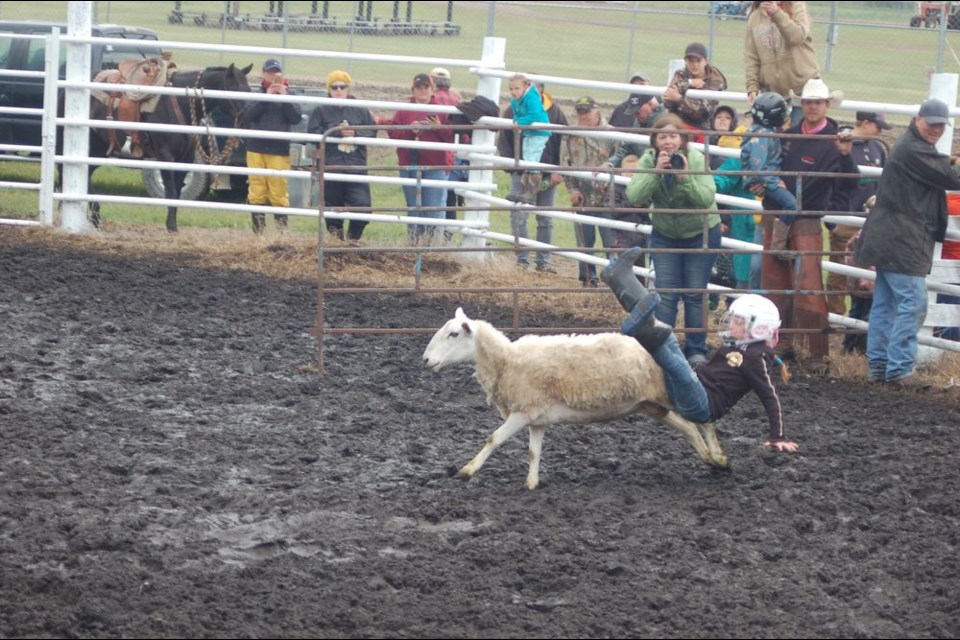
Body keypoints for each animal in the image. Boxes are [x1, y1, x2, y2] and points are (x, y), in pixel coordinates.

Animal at [62, 62, 253, 232]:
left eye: (248, 90)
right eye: (233, 88)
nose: (245, 119)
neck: (179, 103)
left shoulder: (185, 159)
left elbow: (177, 193)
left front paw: (172, 226)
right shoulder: (165, 157)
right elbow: (171, 192)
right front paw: (171, 226)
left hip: (99, 150)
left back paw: (93, 217)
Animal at [422, 306, 728, 490]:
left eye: (453, 334)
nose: (425, 360)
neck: (507, 361)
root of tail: (671, 347)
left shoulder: (523, 410)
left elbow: (493, 439)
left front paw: (466, 470)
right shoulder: (537, 418)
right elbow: (534, 451)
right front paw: (531, 483)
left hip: (668, 394)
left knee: (705, 418)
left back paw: (719, 457)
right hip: (652, 406)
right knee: (688, 427)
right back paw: (709, 460)